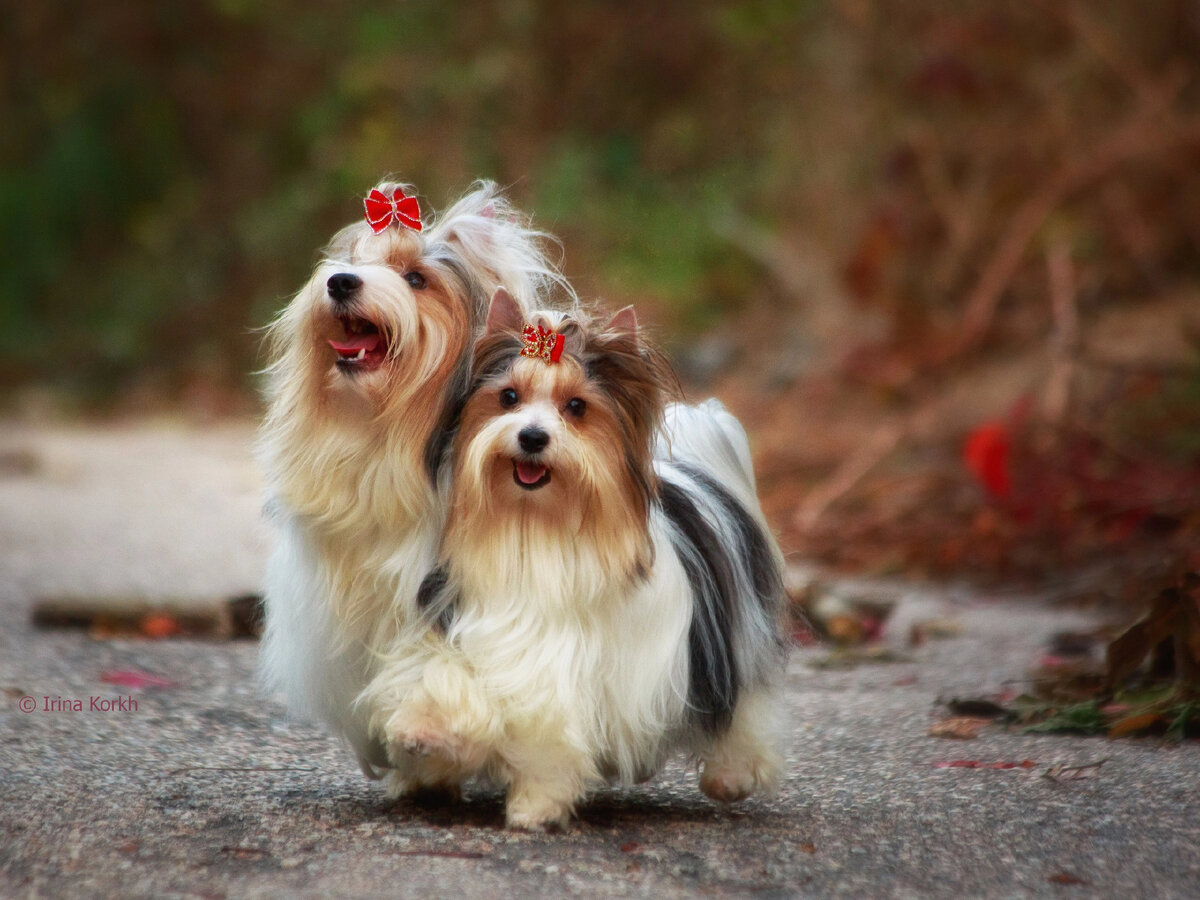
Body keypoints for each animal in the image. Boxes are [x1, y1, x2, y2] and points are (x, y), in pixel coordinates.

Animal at [256, 180, 566, 792]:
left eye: (417, 279)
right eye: (351, 262)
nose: (340, 282)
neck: (386, 438)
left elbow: (436, 668)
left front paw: (432, 737)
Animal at [369, 290, 792, 830]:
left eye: (576, 407)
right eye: (508, 397)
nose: (532, 437)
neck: (535, 528)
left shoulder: (564, 671)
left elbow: (546, 735)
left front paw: (535, 805)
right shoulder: (475, 626)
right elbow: (446, 677)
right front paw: (427, 731)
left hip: (731, 640)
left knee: (743, 706)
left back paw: (732, 775)